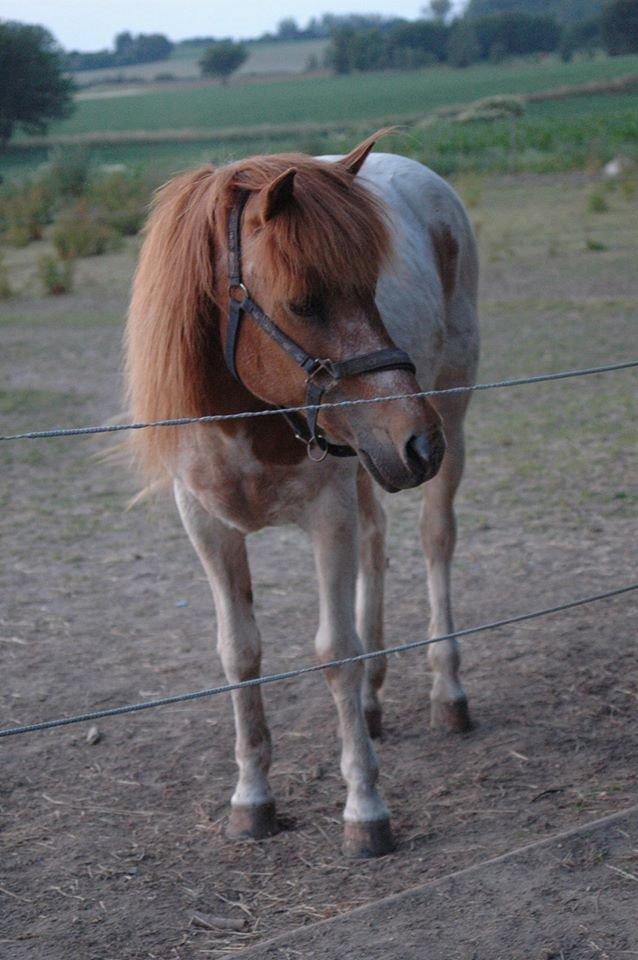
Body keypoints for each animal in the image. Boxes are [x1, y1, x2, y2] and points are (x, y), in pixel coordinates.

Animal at [126, 131, 480, 860]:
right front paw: (252, 798)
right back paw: (374, 699)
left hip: (450, 415)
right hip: (369, 464)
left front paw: (365, 808)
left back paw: (448, 690)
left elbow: (333, 652)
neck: (247, 416)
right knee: (378, 544)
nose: (418, 442)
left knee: (436, 543)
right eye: (302, 302)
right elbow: (239, 653)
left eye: (371, 288)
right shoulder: (207, 527)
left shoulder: (327, 517)